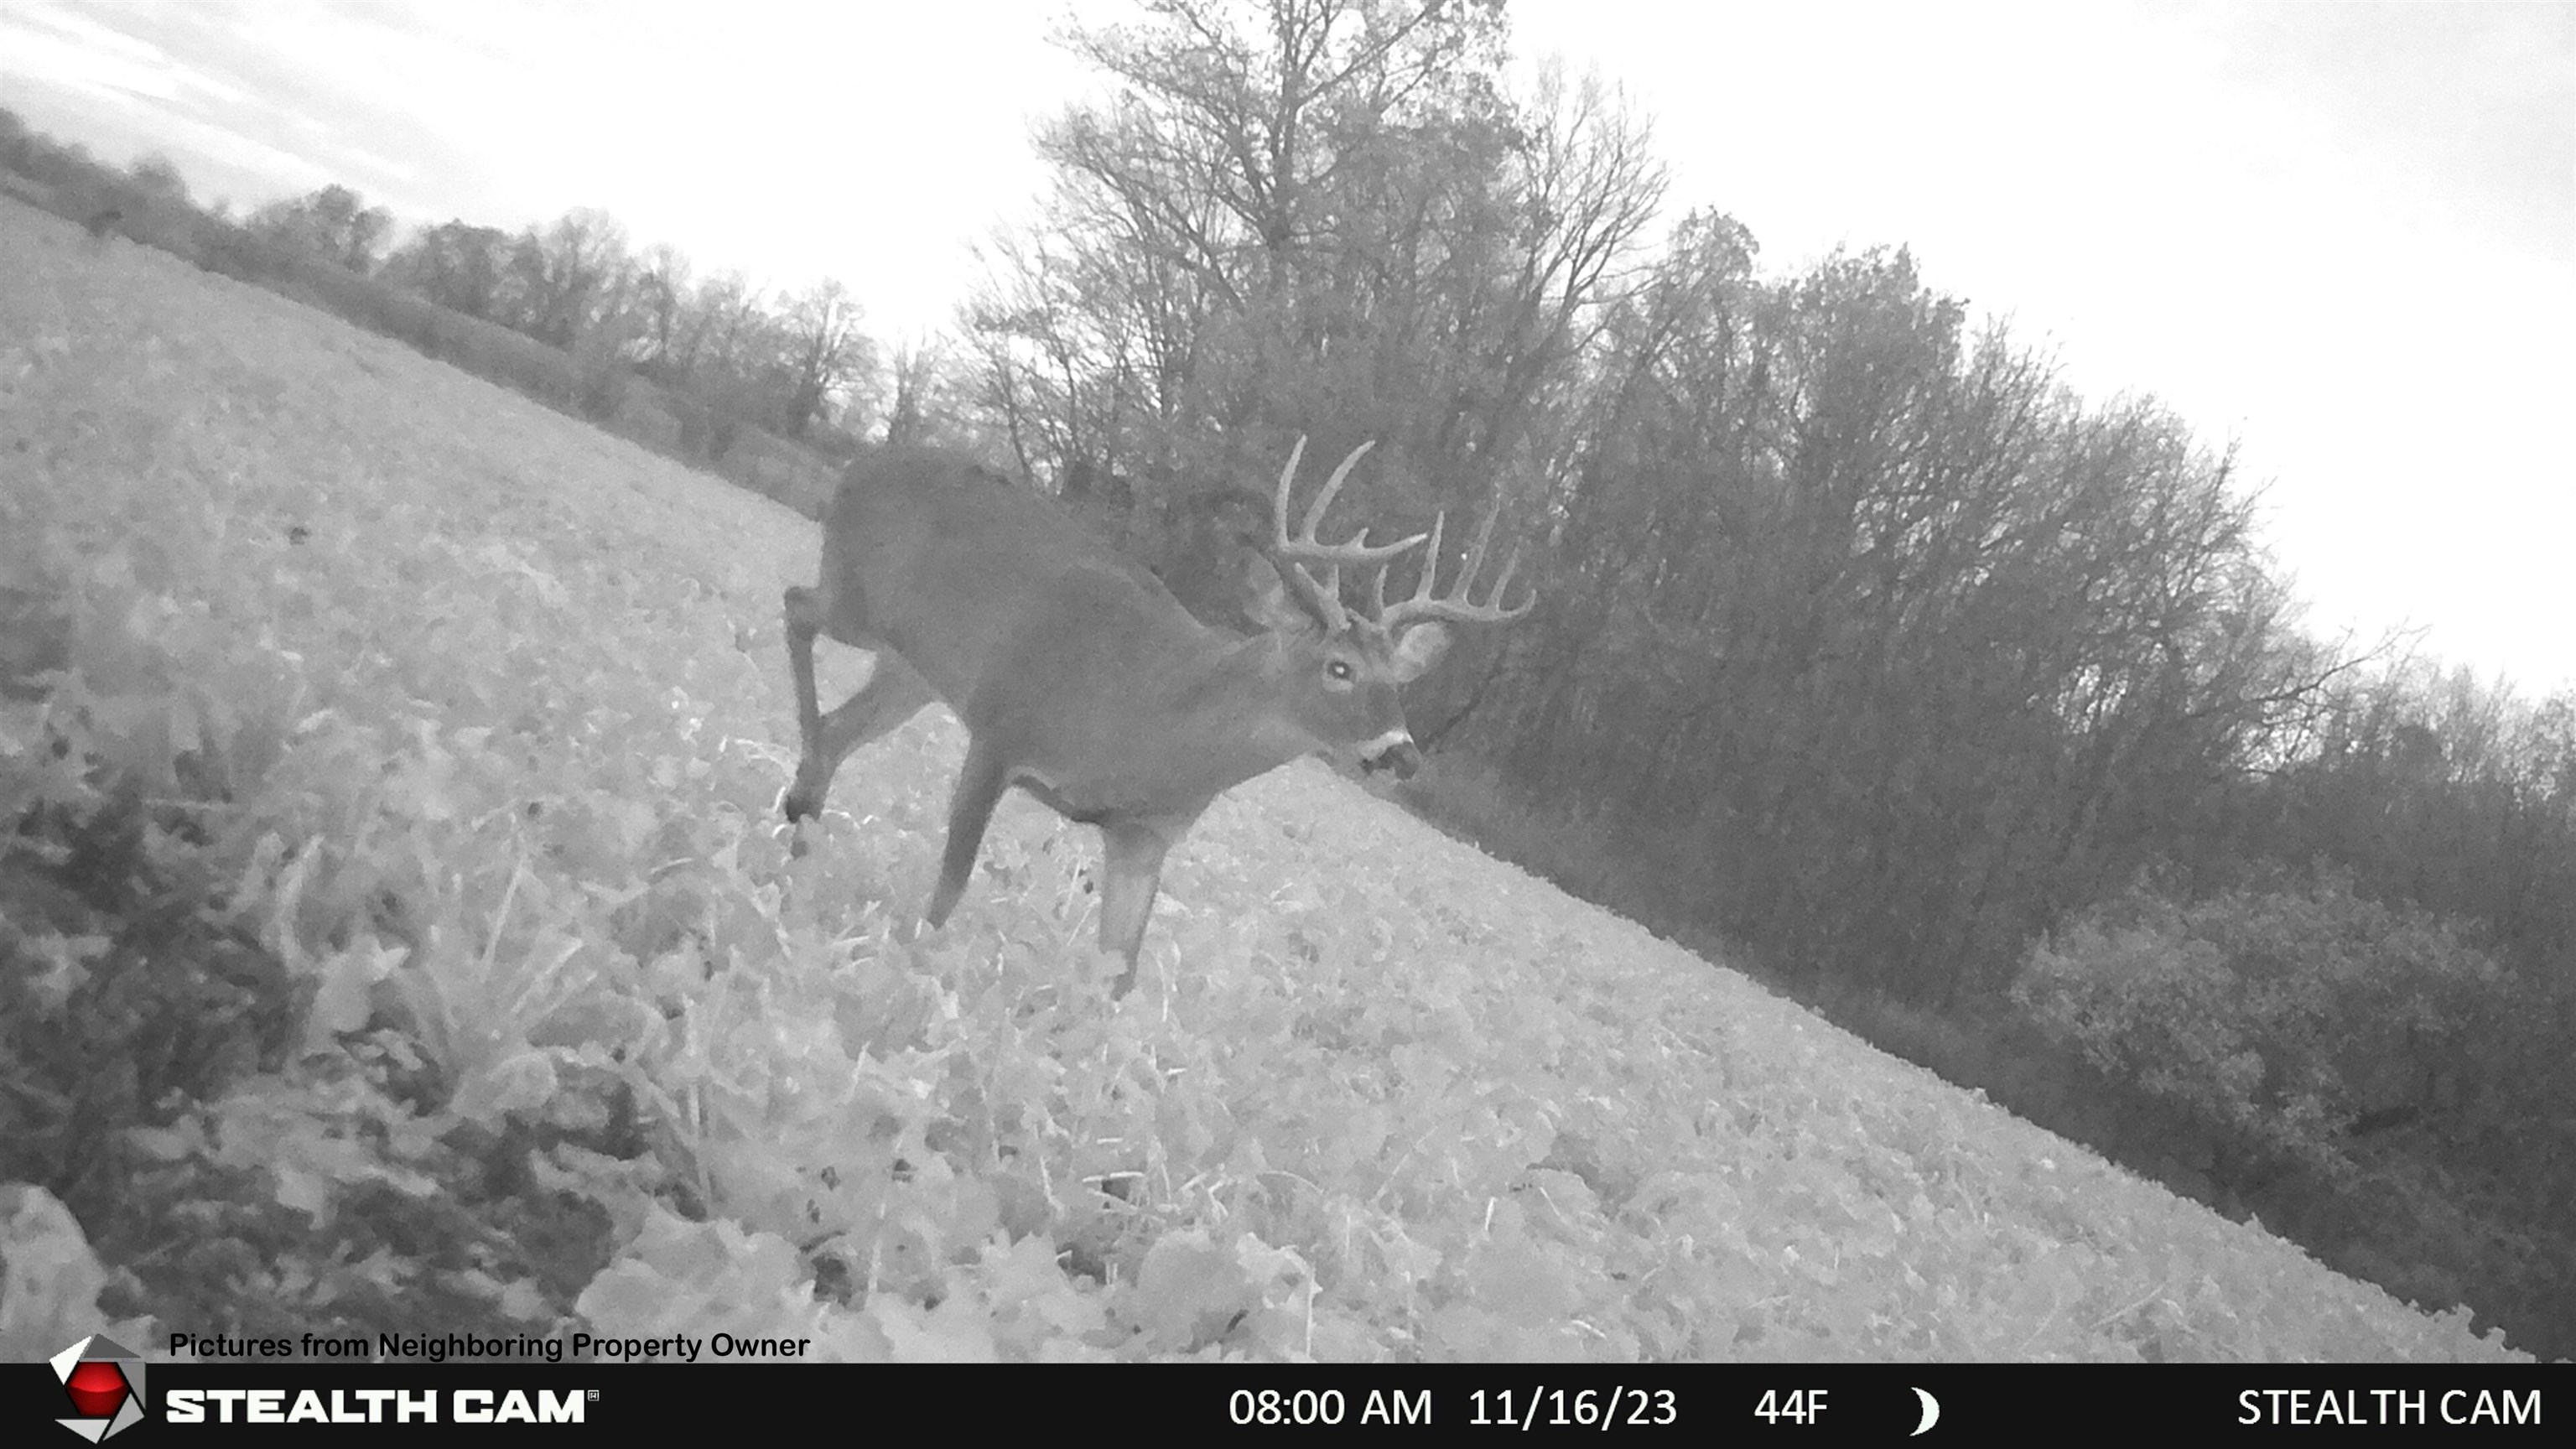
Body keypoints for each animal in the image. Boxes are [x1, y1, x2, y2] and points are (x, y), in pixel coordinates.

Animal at [780, 438, 1533, 995]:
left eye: (1397, 679)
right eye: (1339, 668)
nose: (1403, 753)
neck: (1146, 715)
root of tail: (863, 462)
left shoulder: (1145, 836)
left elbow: (1121, 973)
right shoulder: (1001, 731)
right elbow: (948, 892)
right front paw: (910, 971)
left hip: (913, 671)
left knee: (845, 722)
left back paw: (806, 816)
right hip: (855, 599)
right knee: (796, 606)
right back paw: (798, 796)